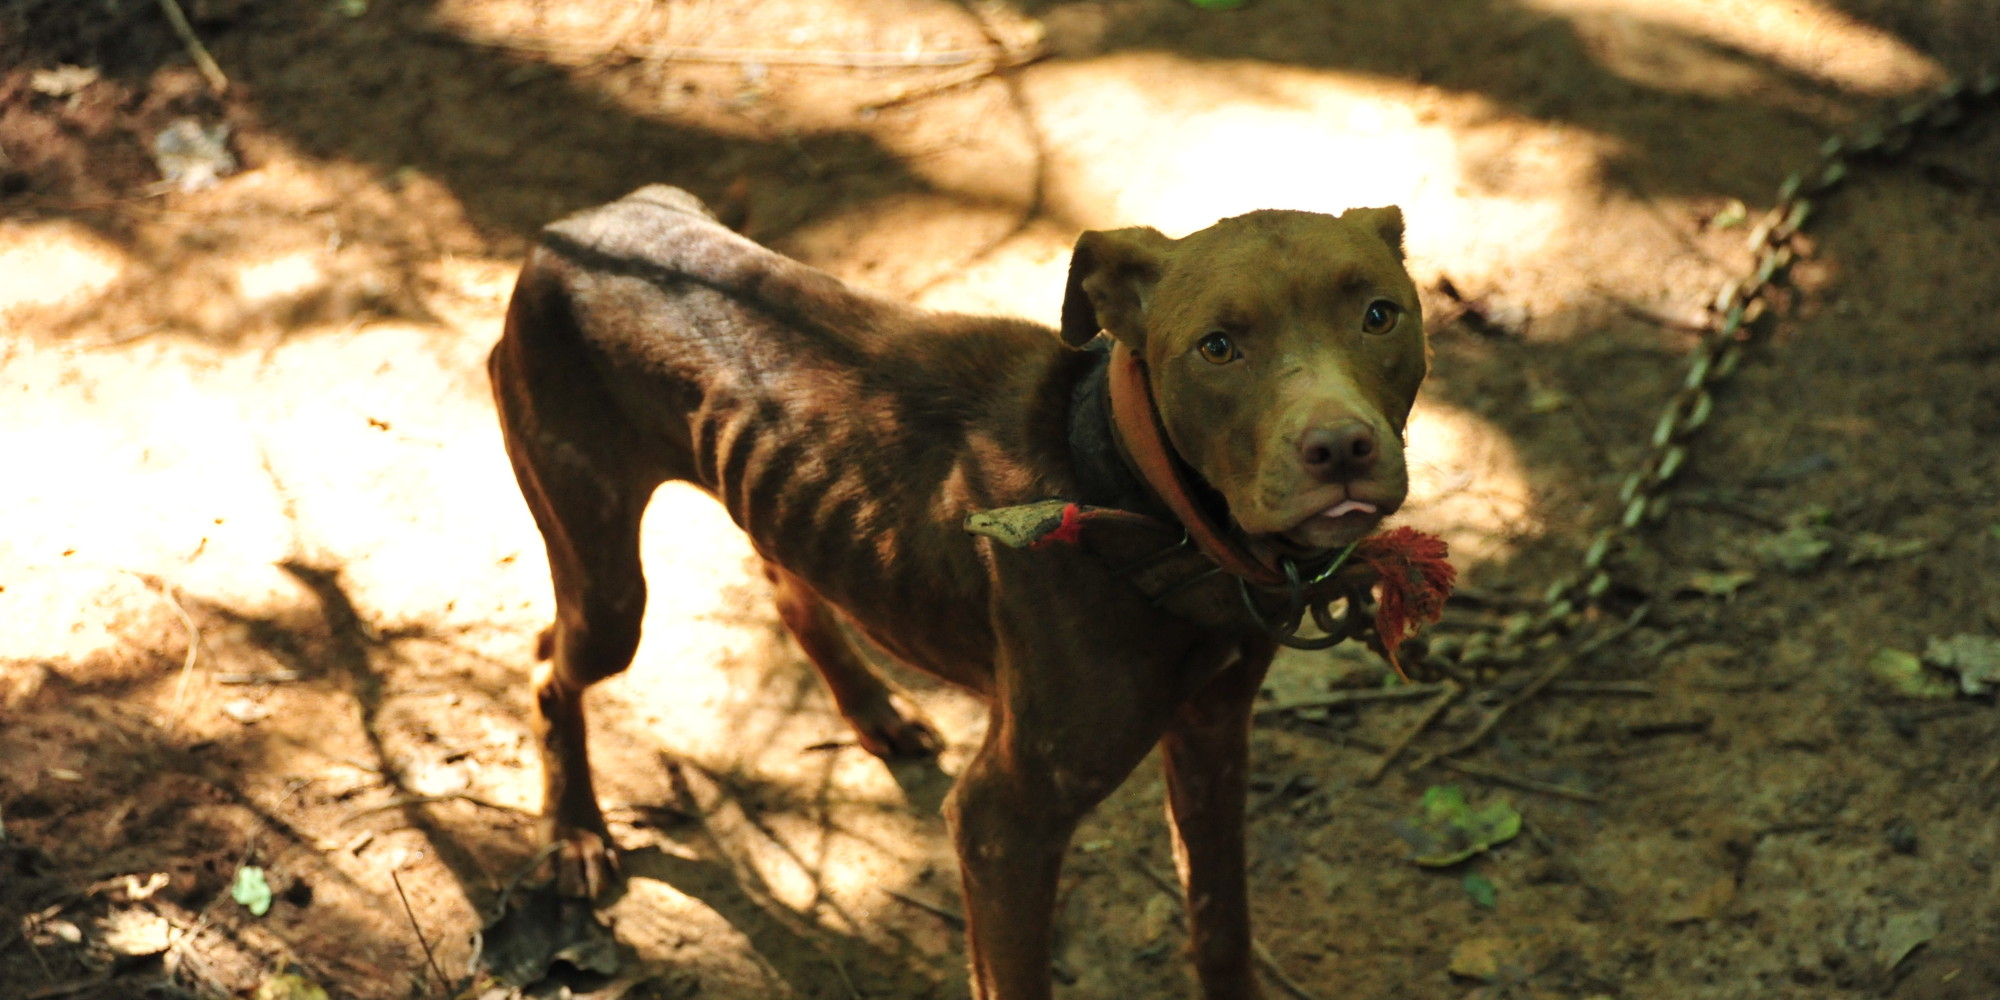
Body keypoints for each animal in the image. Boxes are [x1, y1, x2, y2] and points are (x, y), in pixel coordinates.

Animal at [482, 184, 1424, 996]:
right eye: (1218, 347)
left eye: (1380, 314)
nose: (1340, 448)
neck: (1134, 495)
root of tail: (574, 227)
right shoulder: (1003, 826)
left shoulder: (1214, 735)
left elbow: (1221, 927)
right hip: (605, 581)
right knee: (548, 663)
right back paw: (574, 834)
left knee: (789, 586)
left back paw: (875, 709)